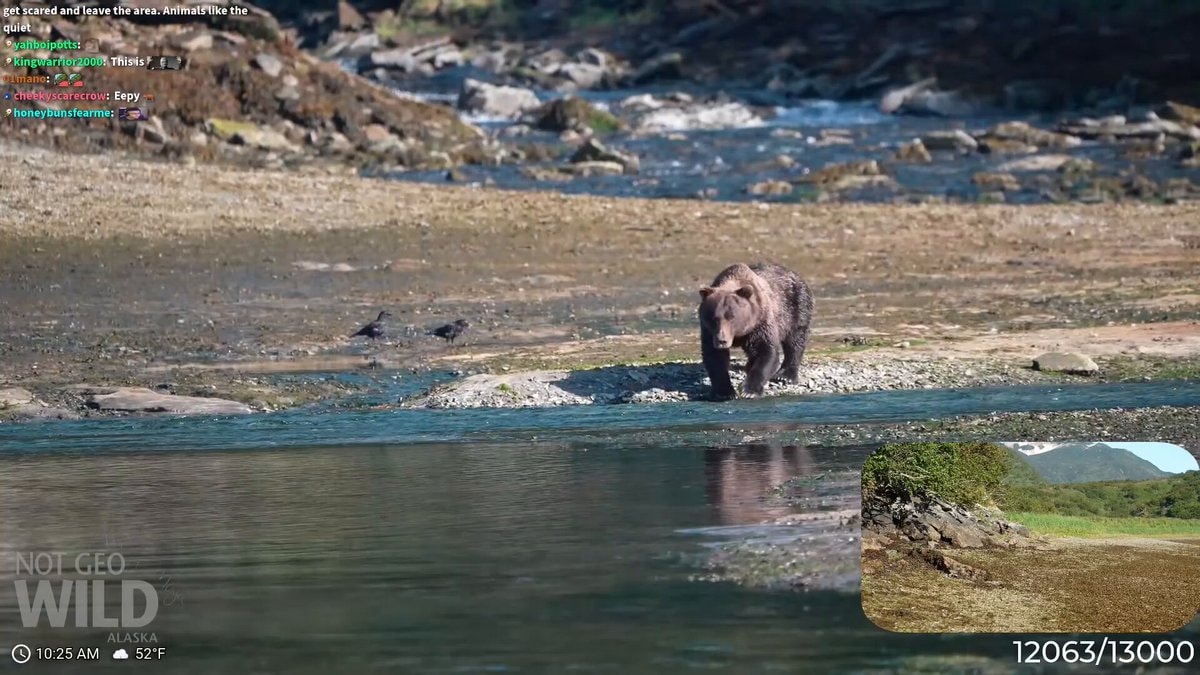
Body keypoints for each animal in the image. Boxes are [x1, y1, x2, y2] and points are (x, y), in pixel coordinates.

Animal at [697, 262, 814, 401]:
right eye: (714, 318)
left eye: (731, 317)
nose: (722, 341)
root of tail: (792, 272)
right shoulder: (708, 331)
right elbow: (715, 357)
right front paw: (725, 392)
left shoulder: (760, 322)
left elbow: (767, 352)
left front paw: (748, 390)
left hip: (796, 306)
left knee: (795, 339)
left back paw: (785, 376)